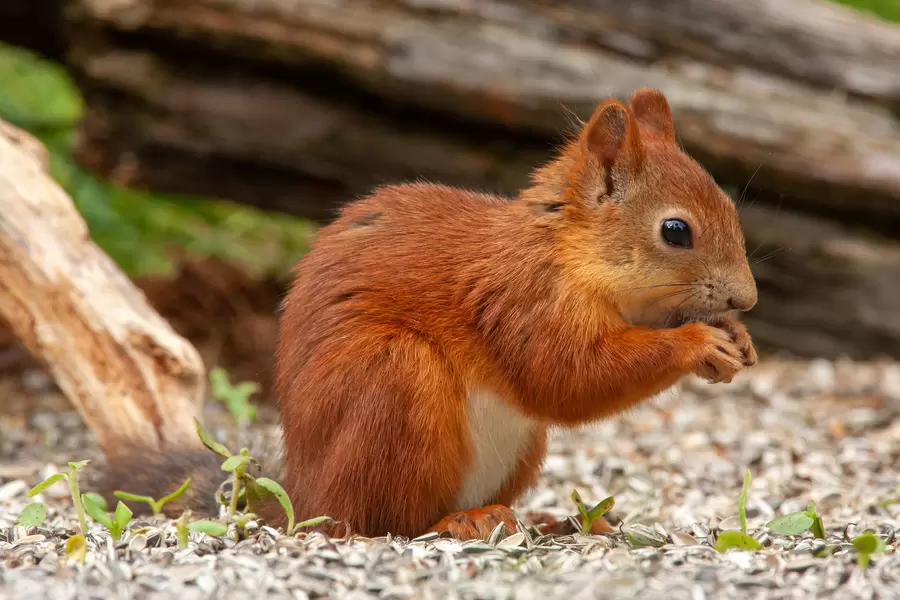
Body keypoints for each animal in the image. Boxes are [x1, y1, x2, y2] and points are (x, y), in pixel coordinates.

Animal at [92, 89, 757, 540]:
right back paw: (463, 521)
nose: (746, 299)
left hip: (517, 447)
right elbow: (564, 377)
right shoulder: (521, 300)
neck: (568, 254)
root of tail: (302, 495)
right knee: (380, 520)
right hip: (395, 378)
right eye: (676, 231)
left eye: (729, 206)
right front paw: (699, 344)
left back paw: (553, 518)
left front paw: (737, 338)